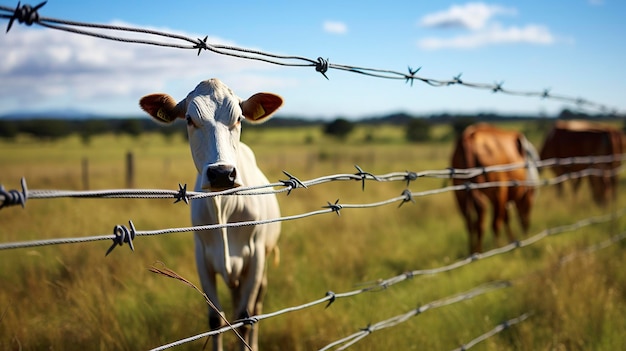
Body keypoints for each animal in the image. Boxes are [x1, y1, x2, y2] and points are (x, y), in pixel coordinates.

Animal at [140, 79, 282, 351]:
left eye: (239, 118)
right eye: (189, 119)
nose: (222, 173)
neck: (222, 208)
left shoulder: (256, 255)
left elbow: (245, 318)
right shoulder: (203, 259)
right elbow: (216, 320)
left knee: (256, 308)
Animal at [448, 124, 536, 253]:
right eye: (530, 203)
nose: (526, 226)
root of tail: (468, 136)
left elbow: (505, 218)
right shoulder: (504, 193)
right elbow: (503, 219)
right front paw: (510, 242)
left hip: (460, 191)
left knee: (470, 222)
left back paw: (473, 250)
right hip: (497, 189)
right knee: (491, 221)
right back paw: (494, 248)